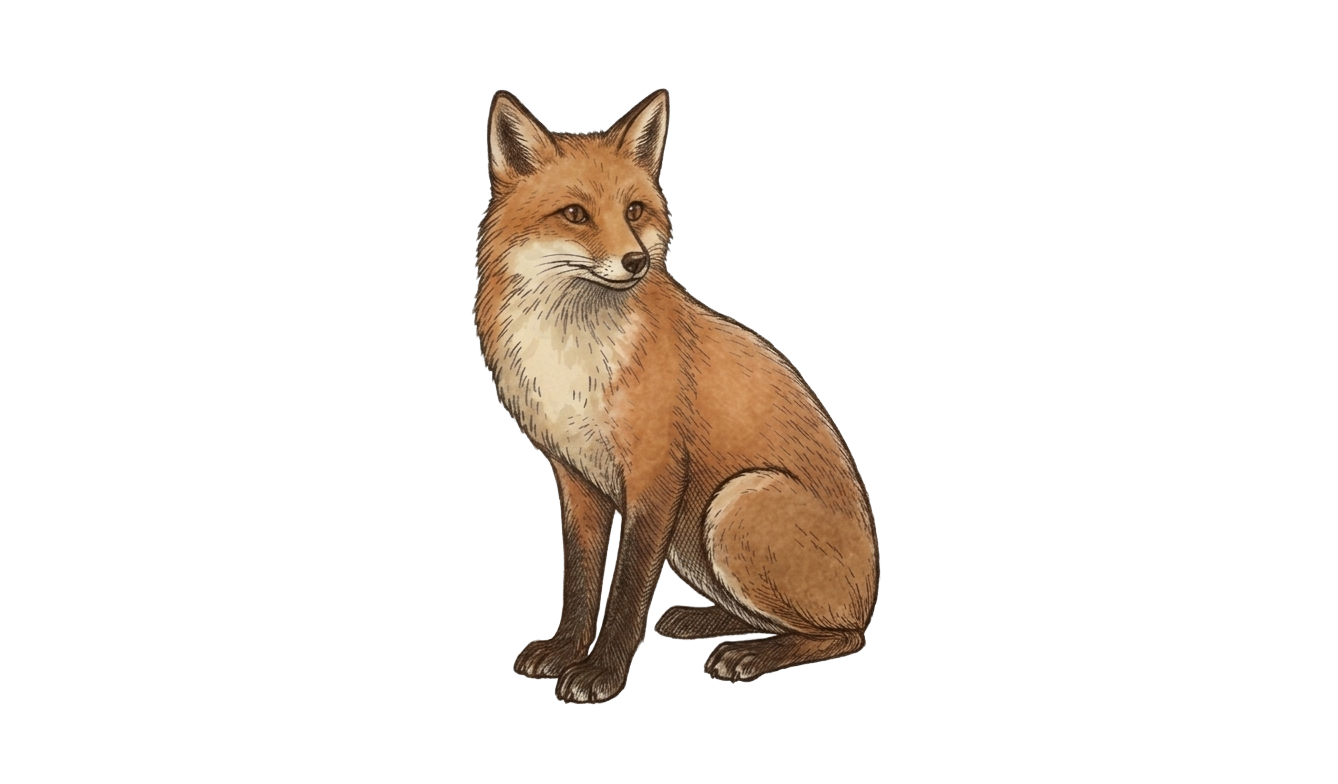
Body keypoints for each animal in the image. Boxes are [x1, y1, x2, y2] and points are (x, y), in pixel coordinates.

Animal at [474, 89, 879, 703]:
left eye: (635, 211)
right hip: (698, 541)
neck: (572, 354)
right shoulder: (576, 479)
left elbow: (627, 591)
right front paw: (566, 650)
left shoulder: (655, 474)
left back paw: (749, 656)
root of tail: (873, 595)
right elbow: (581, 582)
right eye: (575, 214)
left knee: (840, 637)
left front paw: (600, 673)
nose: (635, 261)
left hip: (736, 502)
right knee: (771, 617)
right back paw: (705, 621)